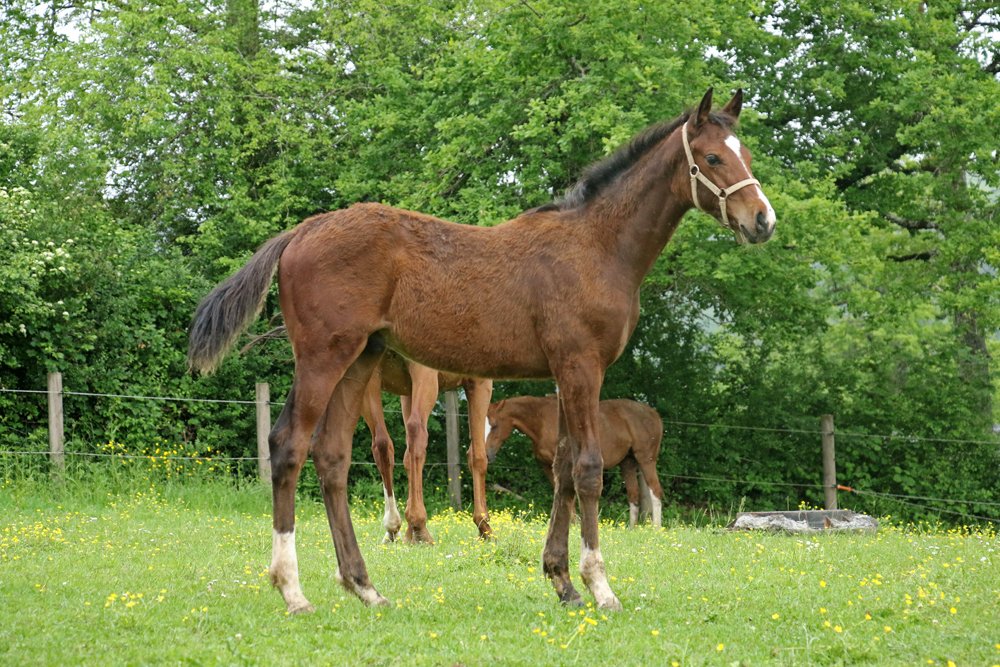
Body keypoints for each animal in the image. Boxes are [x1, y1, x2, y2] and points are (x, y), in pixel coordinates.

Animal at [360, 350, 493, 544]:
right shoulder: (479, 381)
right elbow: (478, 456)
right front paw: (484, 527)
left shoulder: (406, 391)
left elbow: (407, 460)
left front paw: (408, 535)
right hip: (424, 375)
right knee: (416, 433)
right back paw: (419, 527)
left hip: (371, 379)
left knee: (382, 444)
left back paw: (393, 527)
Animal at [485, 395, 664, 528]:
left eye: (494, 425)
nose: (487, 455)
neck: (543, 420)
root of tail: (654, 414)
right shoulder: (547, 467)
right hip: (628, 463)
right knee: (634, 495)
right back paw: (631, 528)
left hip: (646, 460)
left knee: (655, 491)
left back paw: (656, 528)